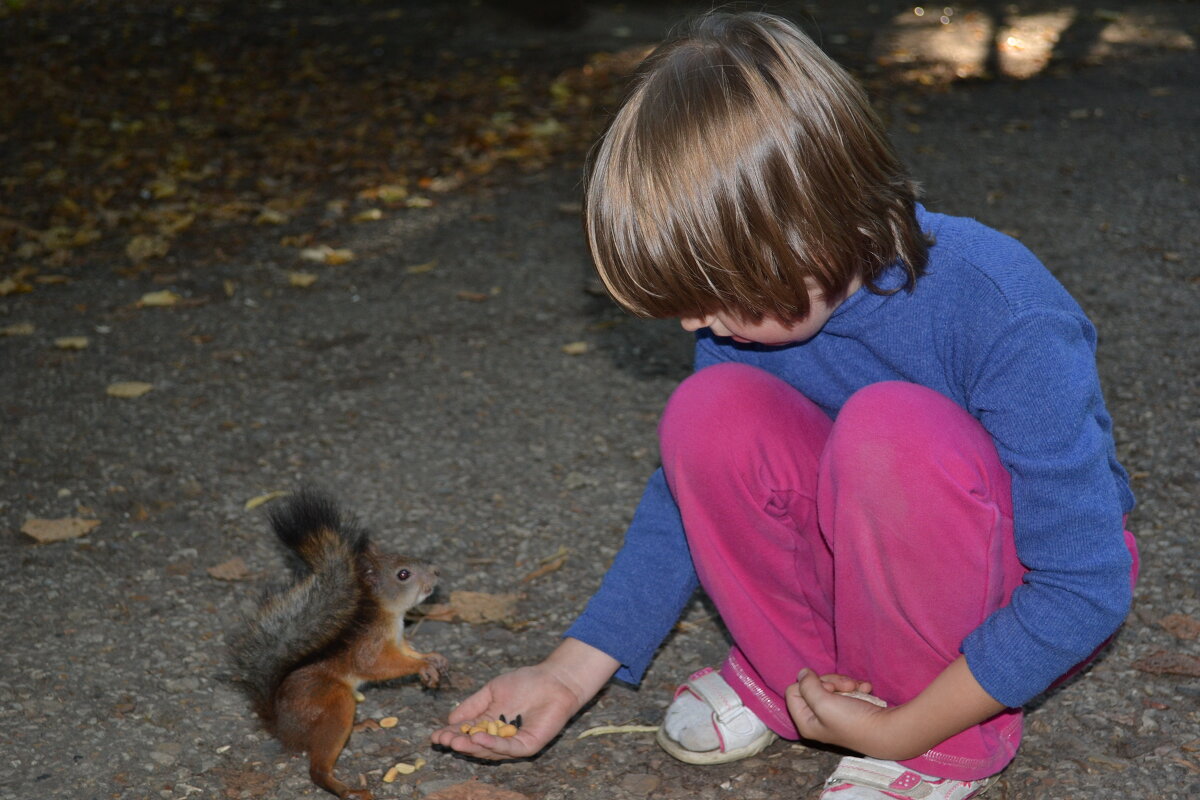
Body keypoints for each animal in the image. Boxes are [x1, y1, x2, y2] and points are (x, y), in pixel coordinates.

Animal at [228, 491, 446, 796]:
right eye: (403, 574)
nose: (437, 571)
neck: (388, 614)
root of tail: (283, 729)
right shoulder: (369, 644)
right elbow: (377, 665)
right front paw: (423, 666)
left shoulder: (398, 640)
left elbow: (408, 652)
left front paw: (433, 657)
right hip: (332, 704)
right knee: (318, 767)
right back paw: (346, 789)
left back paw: (363, 726)